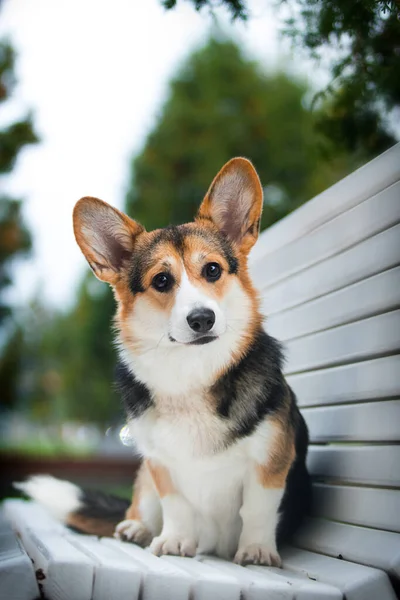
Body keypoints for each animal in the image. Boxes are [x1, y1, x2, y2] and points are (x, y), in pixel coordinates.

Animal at [18, 157, 312, 564]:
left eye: (212, 270)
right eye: (161, 280)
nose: (202, 319)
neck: (191, 370)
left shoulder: (270, 460)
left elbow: (257, 509)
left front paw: (256, 550)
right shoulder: (160, 465)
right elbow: (175, 504)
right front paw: (175, 540)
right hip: (142, 475)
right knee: (141, 505)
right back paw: (135, 528)